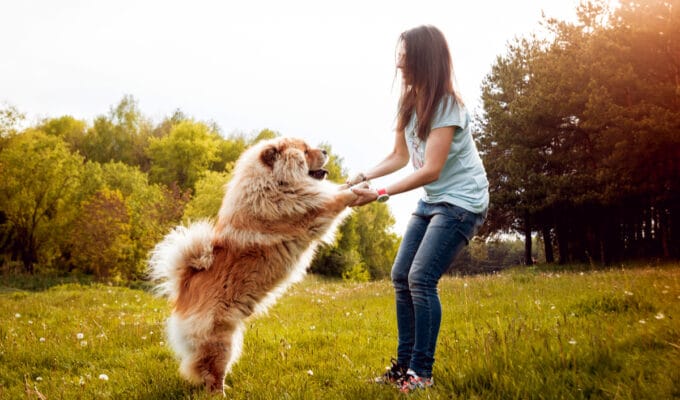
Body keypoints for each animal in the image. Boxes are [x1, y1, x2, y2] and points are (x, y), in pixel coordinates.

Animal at [149, 138, 362, 394]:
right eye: (304, 151)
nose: (324, 150)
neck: (274, 183)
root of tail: (184, 287)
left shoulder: (312, 197)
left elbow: (334, 190)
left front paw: (358, 180)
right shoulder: (311, 211)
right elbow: (337, 199)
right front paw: (363, 191)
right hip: (221, 341)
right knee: (211, 373)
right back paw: (221, 394)